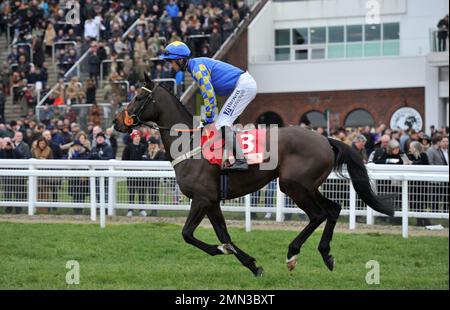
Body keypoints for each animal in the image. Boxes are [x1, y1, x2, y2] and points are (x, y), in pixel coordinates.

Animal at [113, 75, 394, 278]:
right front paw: (252, 265)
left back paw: (292, 254)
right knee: (334, 209)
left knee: (318, 214)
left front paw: (221, 251)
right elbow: (224, 235)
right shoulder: (212, 201)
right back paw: (326, 255)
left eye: (138, 97)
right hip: (308, 186)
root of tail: (325, 139)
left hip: (293, 185)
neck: (189, 144)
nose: (117, 122)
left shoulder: (201, 198)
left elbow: (188, 234)